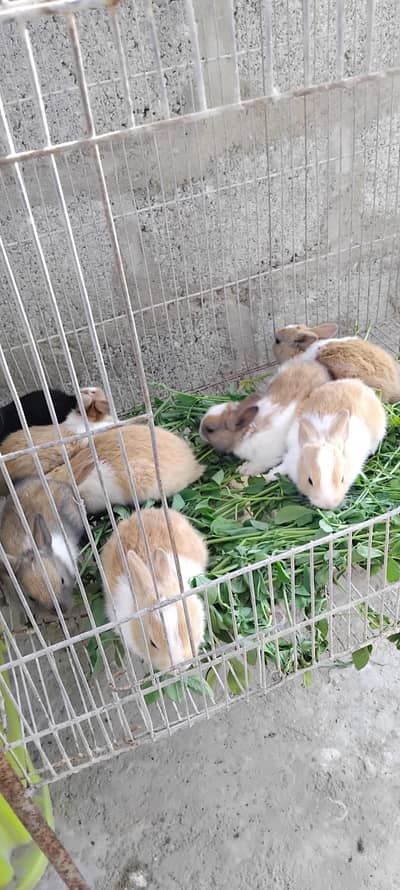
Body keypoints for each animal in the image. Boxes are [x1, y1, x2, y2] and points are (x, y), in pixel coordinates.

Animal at [199, 359, 331, 475]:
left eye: (210, 429)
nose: (199, 432)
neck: (247, 434)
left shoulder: (266, 457)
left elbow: (257, 465)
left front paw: (244, 470)